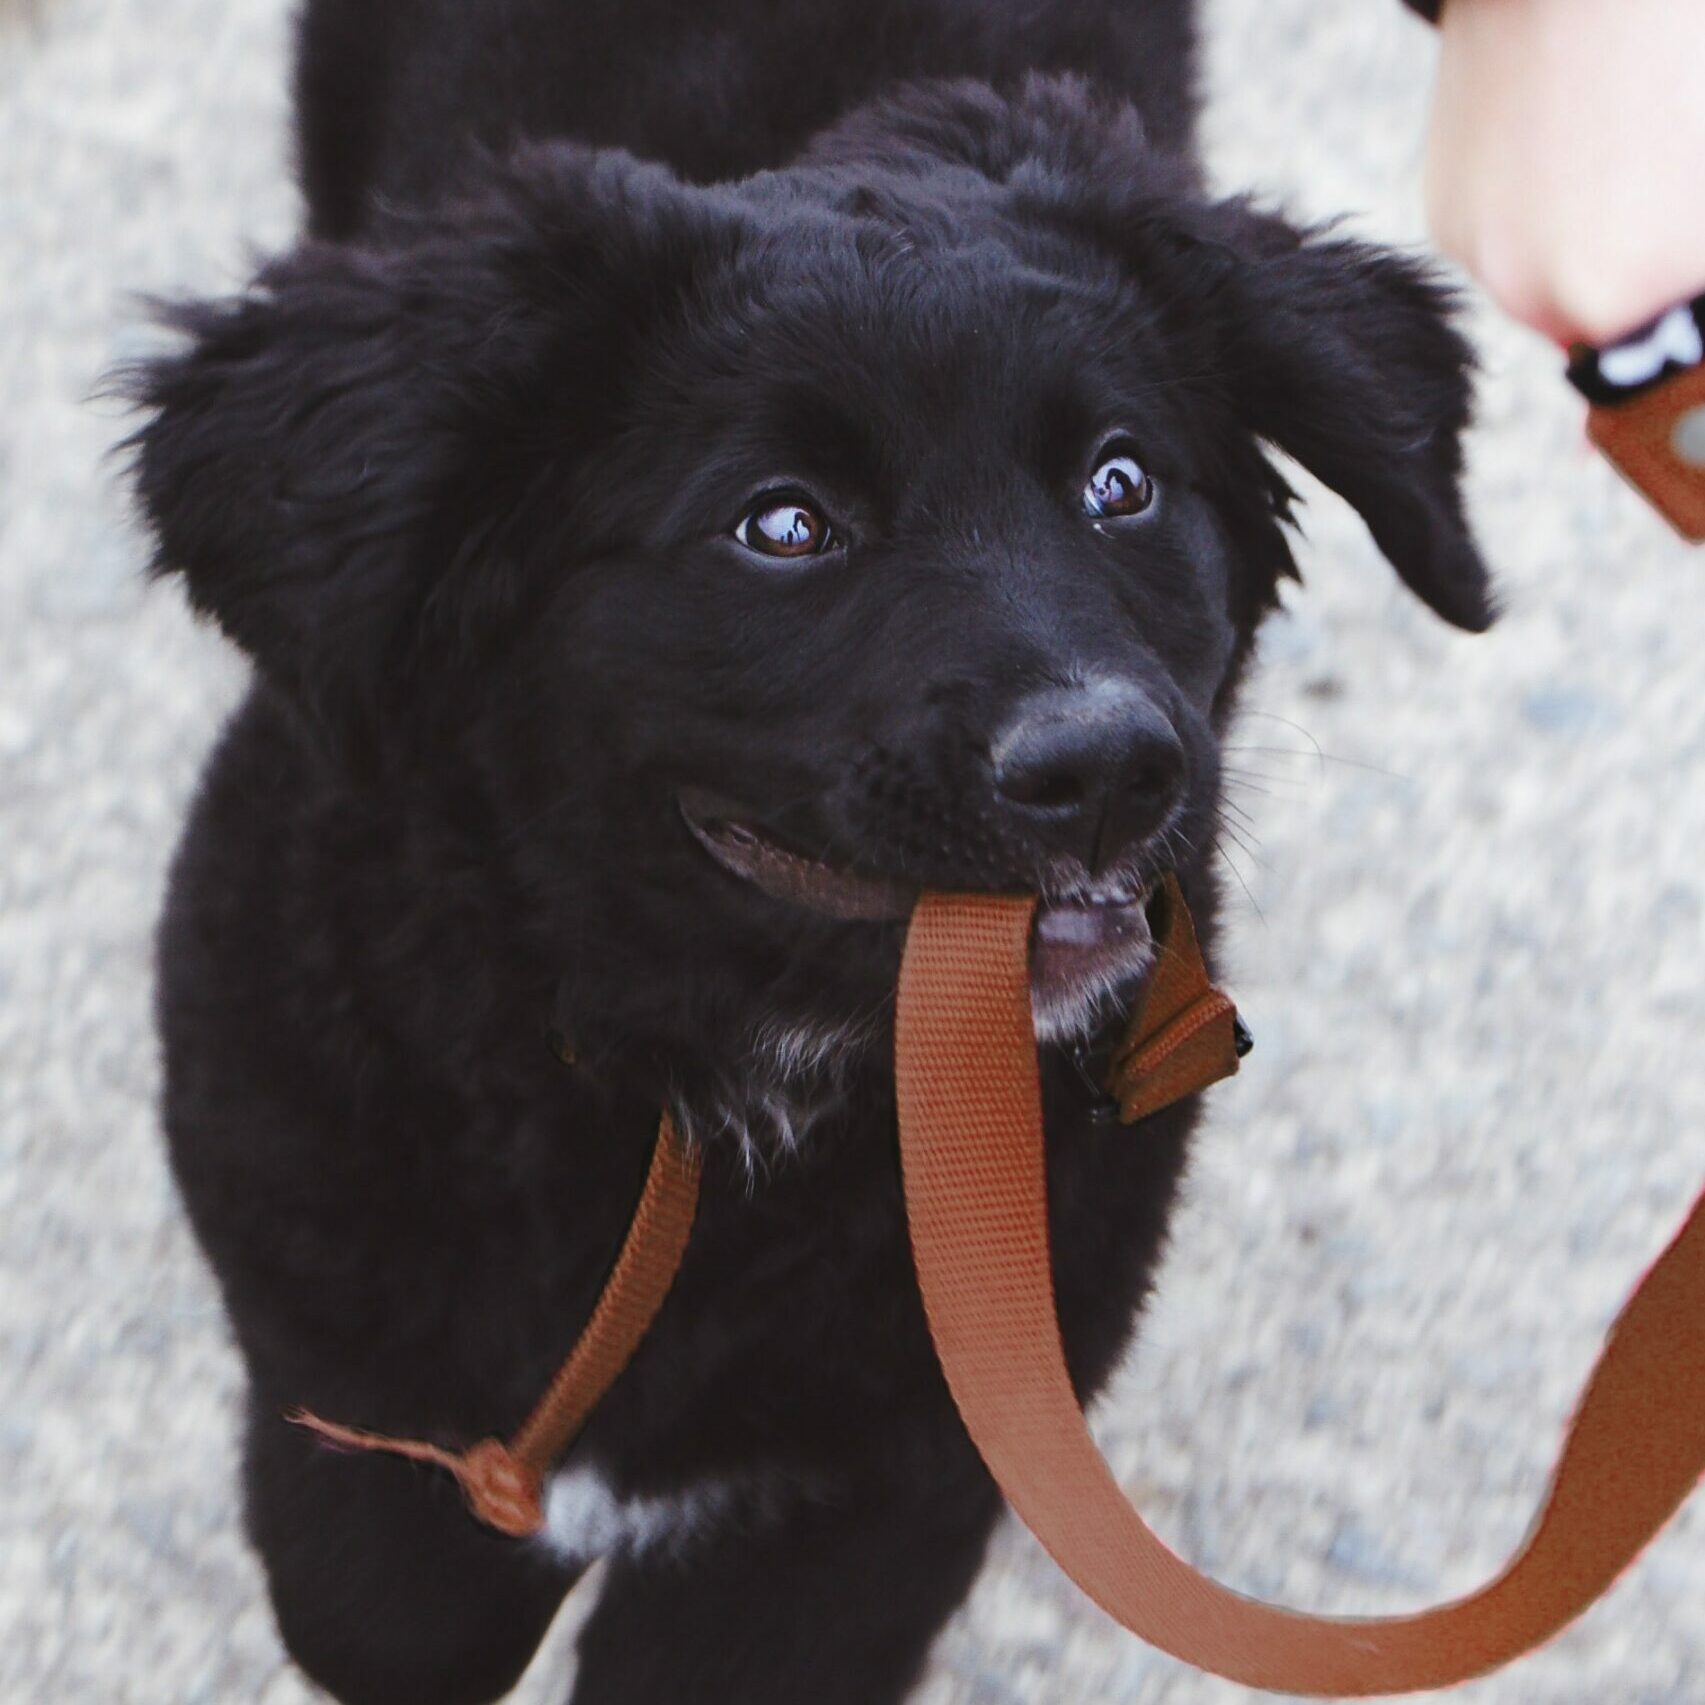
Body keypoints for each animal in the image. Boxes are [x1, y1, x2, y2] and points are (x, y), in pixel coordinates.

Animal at [123, 3, 1493, 1705]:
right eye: (781, 525)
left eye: (1120, 481)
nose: (1107, 766)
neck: (713, 1096)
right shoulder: (358, 1411)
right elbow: (383, 1610)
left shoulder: (878, 1497)